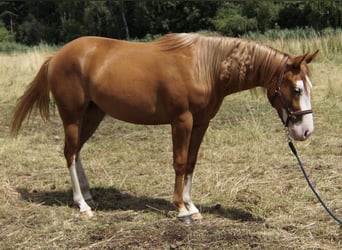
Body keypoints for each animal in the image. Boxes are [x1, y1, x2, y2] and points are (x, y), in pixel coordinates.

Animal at [11, 33, 320, 223]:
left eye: (309, 87)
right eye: (295, 89)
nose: (305, 132)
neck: (205, 66)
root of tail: (57, 56)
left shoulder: (201, 122)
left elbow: (192, 162)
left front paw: (192, 207)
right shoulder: (181, 121)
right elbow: (180, 162)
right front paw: (181, 209)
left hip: (93, 114)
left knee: (76, 152)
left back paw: (87, 195)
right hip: (72, 116)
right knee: (69, 153)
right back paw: (82, 205)